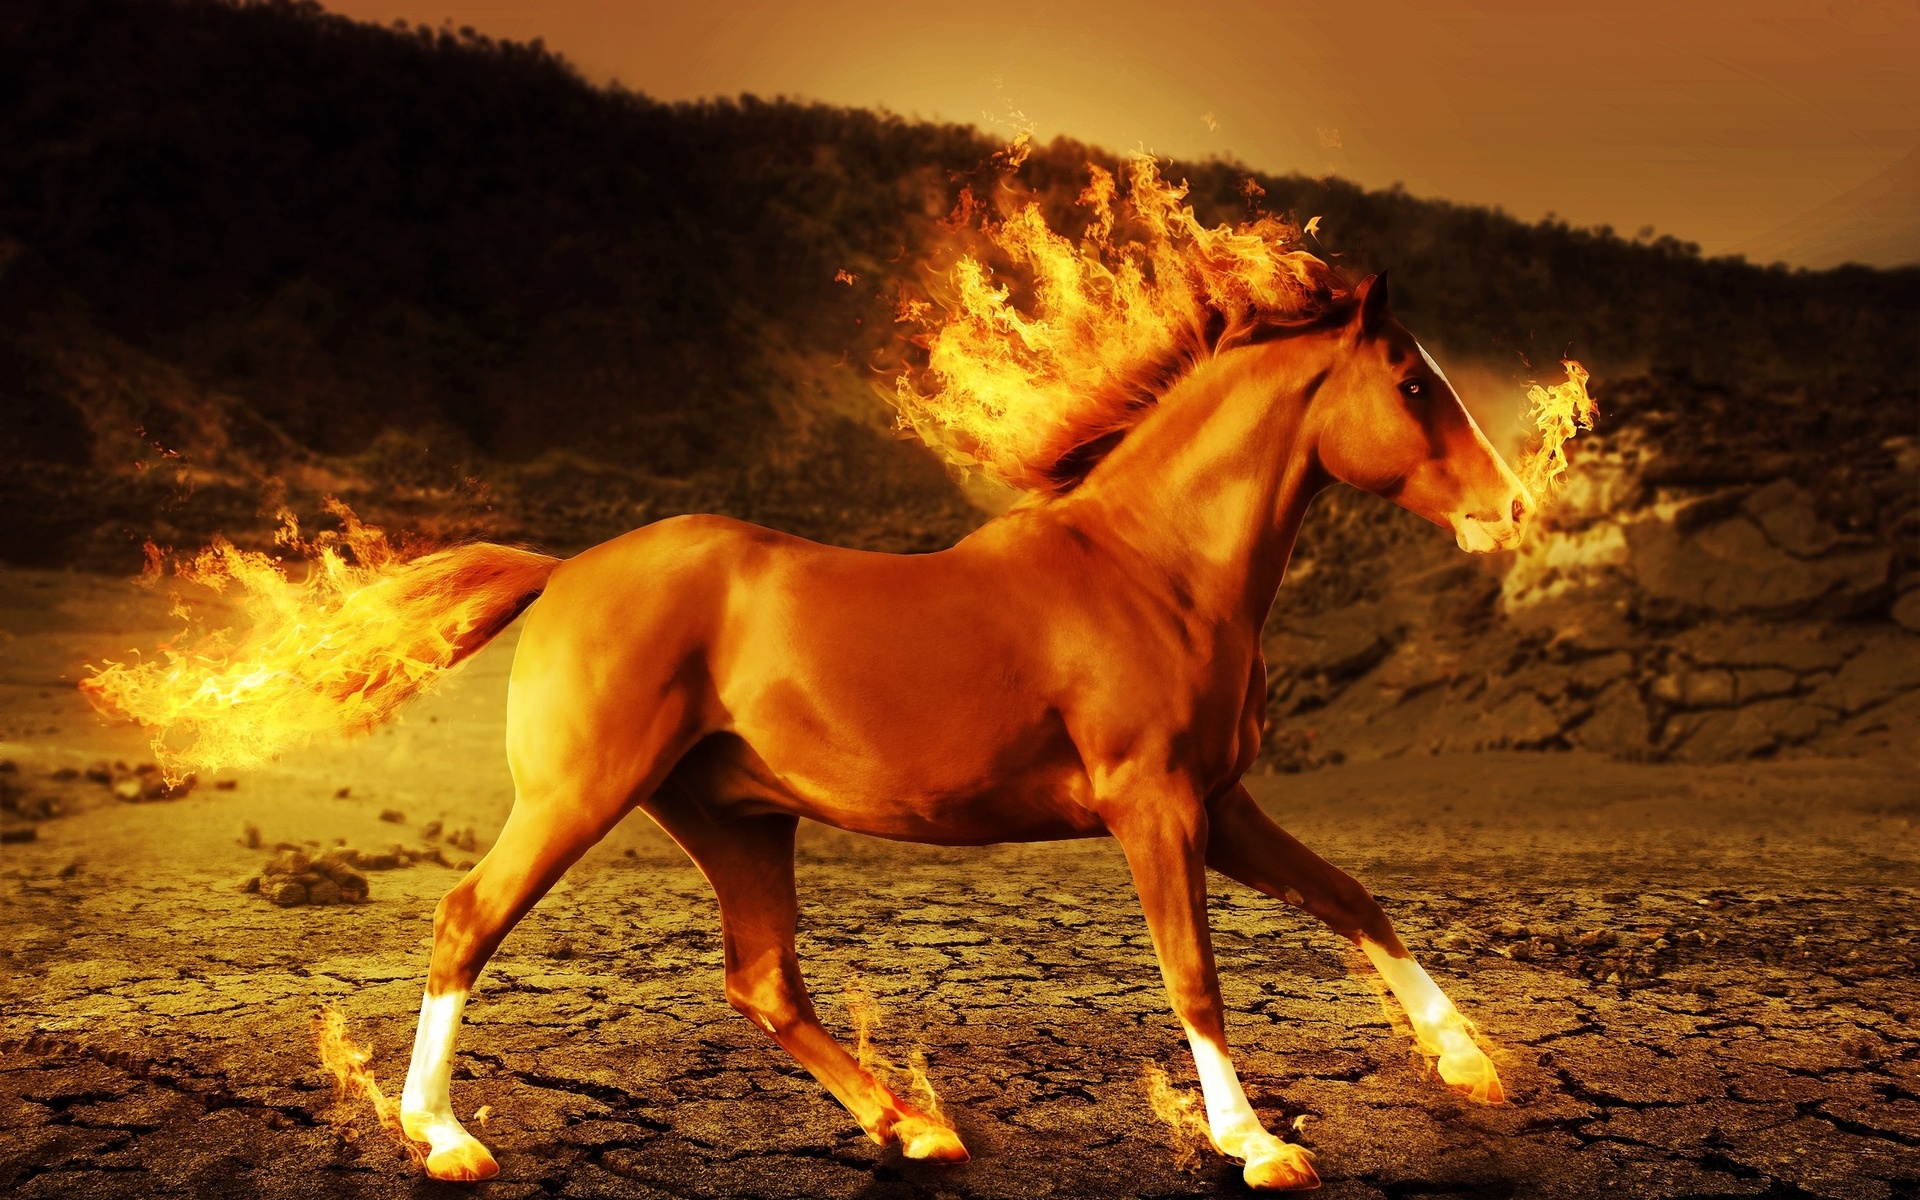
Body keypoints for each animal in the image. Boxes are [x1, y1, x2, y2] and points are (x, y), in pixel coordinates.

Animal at [355, 271, 1528, 1190]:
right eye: (1413, 383)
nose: (1513, 507)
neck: (1153, 569)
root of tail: (562, 570)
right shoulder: (1154, 805)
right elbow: (1194, 974)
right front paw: (1257, 1146)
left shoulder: (1221, 803)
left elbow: (1353, 897)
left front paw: (1469, 1064)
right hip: (577, 798)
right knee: (466, 920)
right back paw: (442, 1138)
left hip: (739, 823)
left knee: (763, 982)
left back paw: (914, 1128)